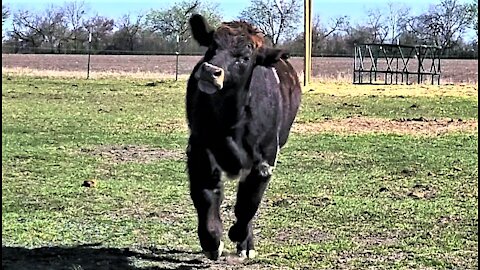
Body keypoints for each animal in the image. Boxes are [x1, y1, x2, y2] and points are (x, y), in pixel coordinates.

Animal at [185, 14, 300, 260]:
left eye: (245, 58)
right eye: (212, 47)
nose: (210, 71)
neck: (231, 122)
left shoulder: (265, 161)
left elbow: (248, 204)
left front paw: (242, 238)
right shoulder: (200, 153)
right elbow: (206, 197)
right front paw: (212, 241)